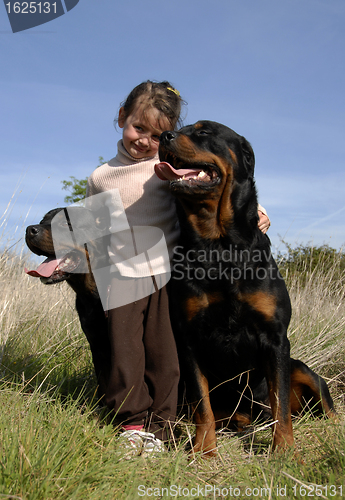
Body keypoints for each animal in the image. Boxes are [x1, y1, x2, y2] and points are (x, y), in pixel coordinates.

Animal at [25, 207, 111, 398]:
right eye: (42, 221)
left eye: (66, 223)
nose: (29, 230)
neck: (93, 293)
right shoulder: (96, 343)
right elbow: (103, 380)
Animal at [155, 121, 334, 458]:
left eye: (204, 132)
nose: (164, 136)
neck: (218, 245)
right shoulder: (189, 339)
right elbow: (202, 404)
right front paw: (204, 450)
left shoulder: (275, 338)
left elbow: (279, 403)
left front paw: (284, 450)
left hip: (301, 368)